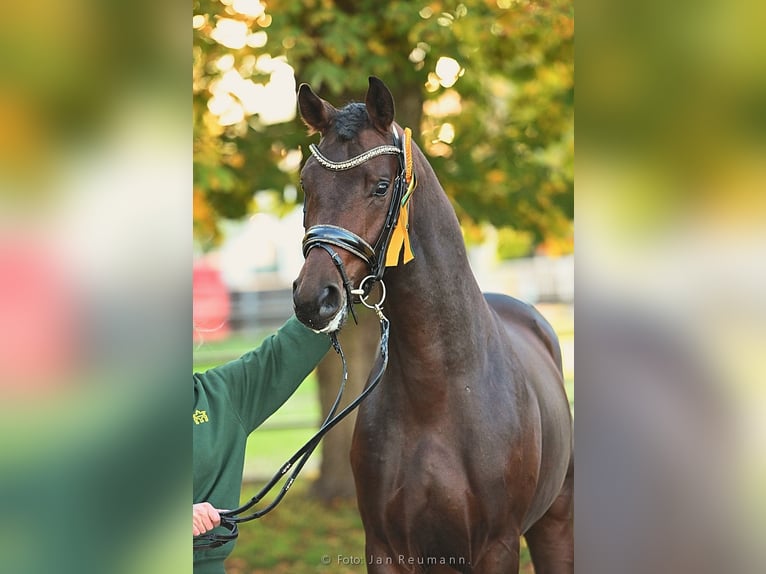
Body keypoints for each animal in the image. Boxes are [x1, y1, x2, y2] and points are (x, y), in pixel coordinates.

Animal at [292, 77, 573, 573]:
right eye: (307, 183)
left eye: (381, 186)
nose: (314, 299)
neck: (440, 389)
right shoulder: (386, 549)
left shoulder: (497, 547)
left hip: (555, 522)